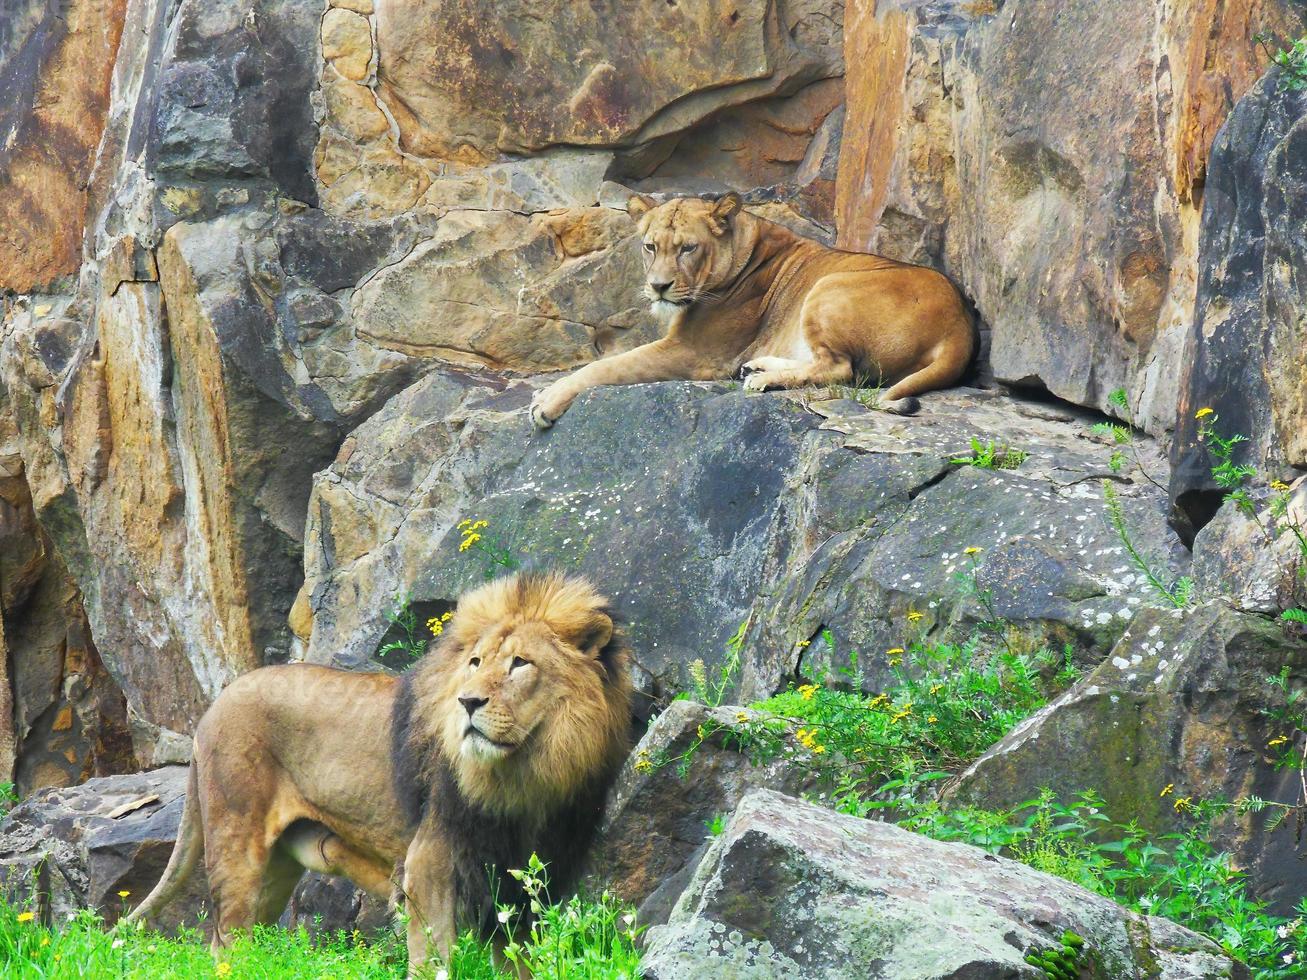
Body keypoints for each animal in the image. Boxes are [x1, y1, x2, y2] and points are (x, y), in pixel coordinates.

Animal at [128, 572, 632, 972]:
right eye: (475, 662)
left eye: (520, 663)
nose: (467, 701)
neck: (530, 775)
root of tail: (213, 706)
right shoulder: (429, 865)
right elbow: (433, 962)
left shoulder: (525, 886)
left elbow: (521, 963)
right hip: (237, 847)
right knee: (224, 944)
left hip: (275, 873)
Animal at [528, 195, 972, 428]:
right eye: (650, 246)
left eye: (688, 248)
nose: (658, 286)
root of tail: (961, 326)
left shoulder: (693, 353)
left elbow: (604, 366)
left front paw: (546, 400)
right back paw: (759, 366)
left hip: (828, 285)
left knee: (843, 369)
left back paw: (763, 380)